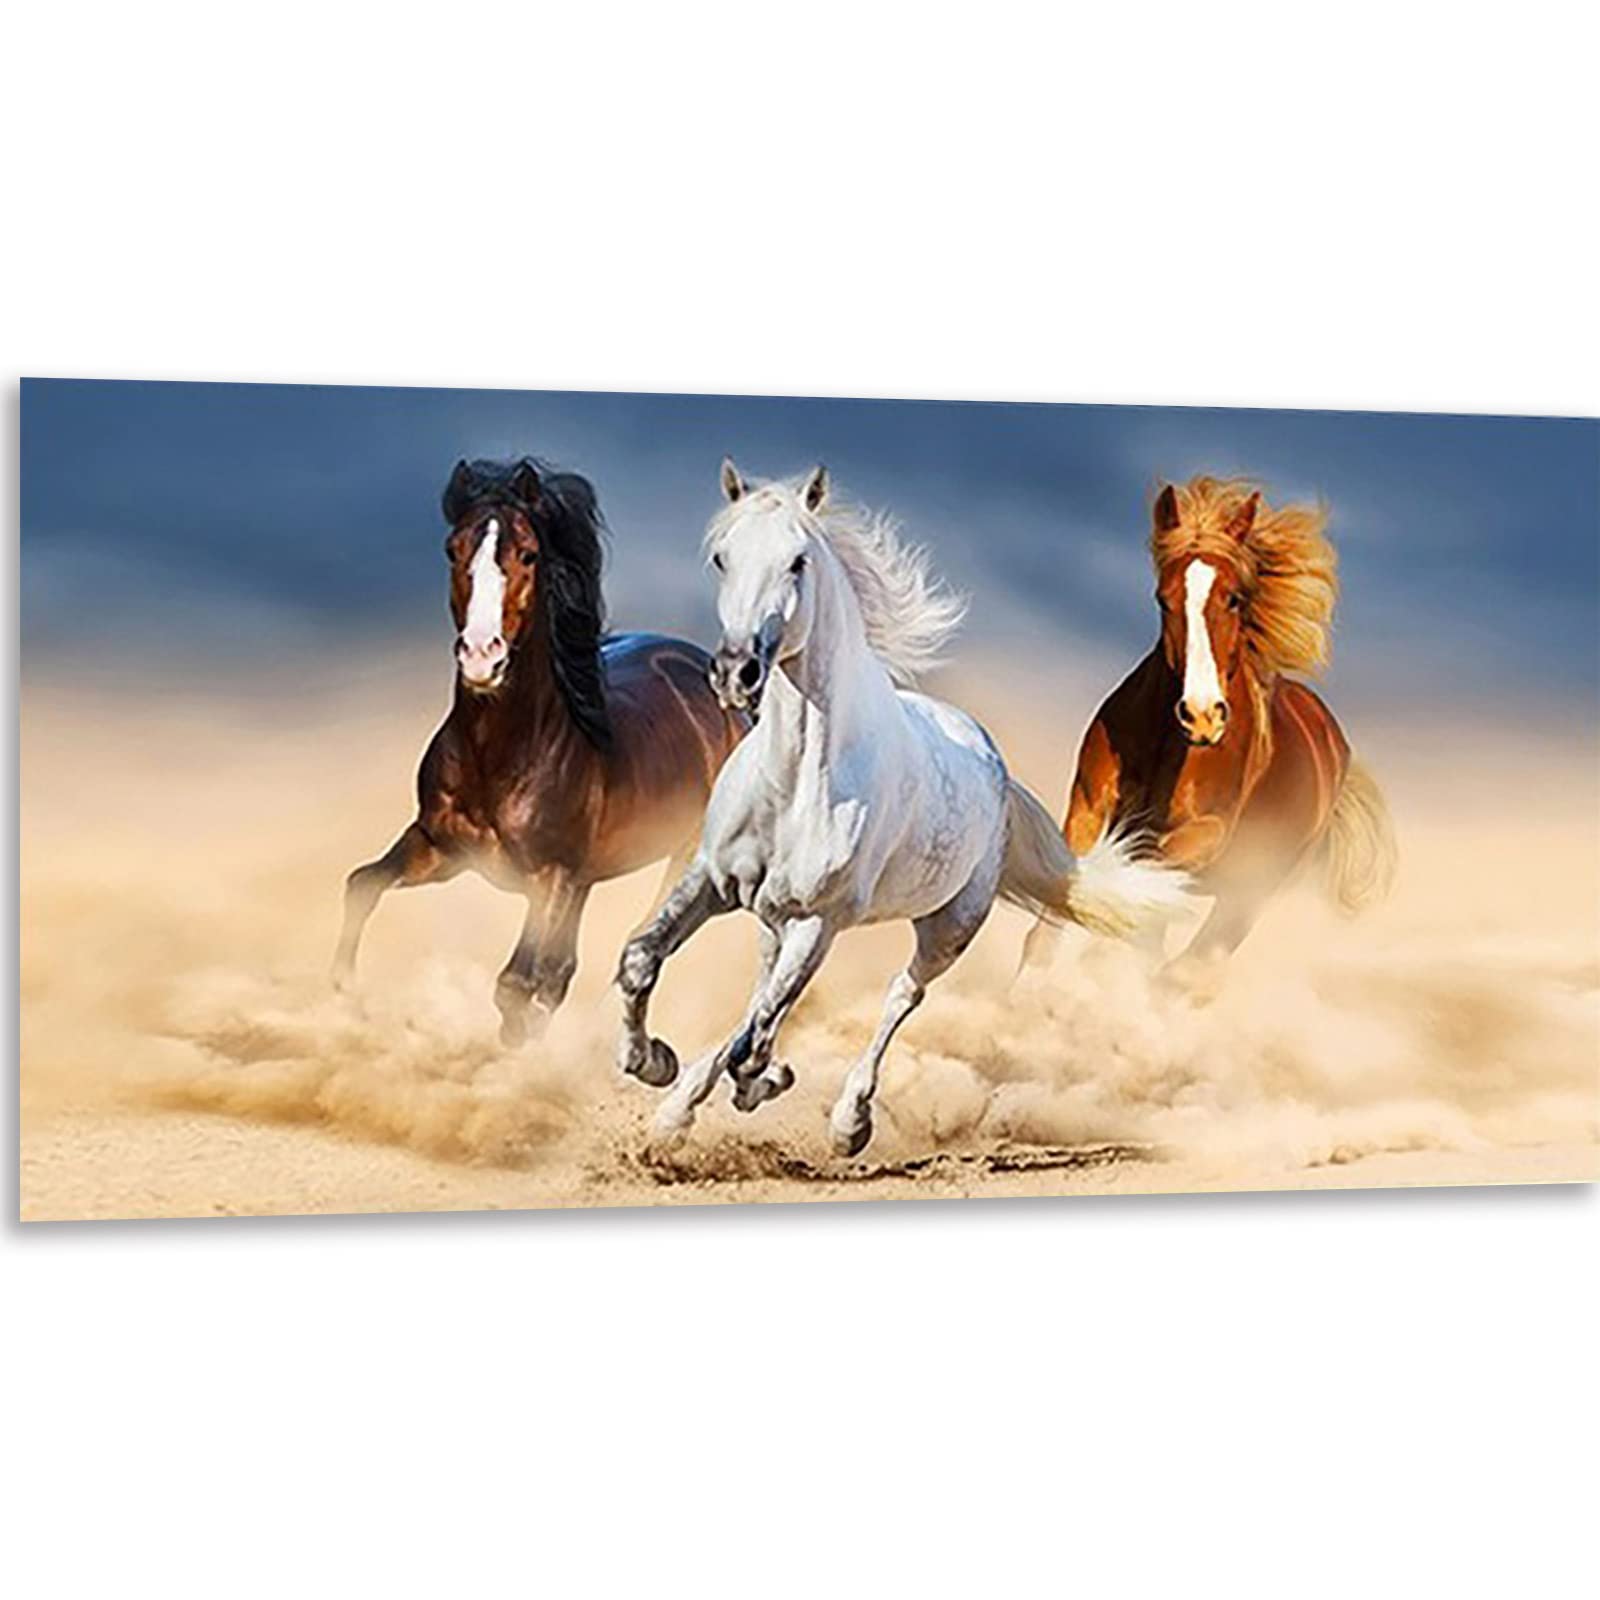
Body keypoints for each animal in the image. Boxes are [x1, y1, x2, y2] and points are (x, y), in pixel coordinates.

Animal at [332, 457, 747, 1044]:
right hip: (587, 878)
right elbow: (362, 885)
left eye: (527, 553)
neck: (500, 756)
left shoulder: (548, 878)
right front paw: (347, 993)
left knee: (631, 943)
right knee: (563, 970)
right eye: (453, 549)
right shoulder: (440, 848)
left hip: (680, 857)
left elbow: (515, 984)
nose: (481, 656)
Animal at [614, 460, 1193, 1156]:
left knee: (898, 995)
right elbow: (642, 963)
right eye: (723, 557)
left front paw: (738, 1086)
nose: (736, 673)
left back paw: (847, 1121)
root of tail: (994, 764)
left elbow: (754, 1035)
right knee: (765, 995)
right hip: (775, 919)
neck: (794, 783)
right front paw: (652, 1063)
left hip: (947, 928)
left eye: (798, 562)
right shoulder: (713, 880)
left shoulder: (820, 922)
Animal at [1020, 475, 1397, 983]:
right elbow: (1062, 900)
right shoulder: (1087, 805)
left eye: (1234, 597)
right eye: (1163, 599)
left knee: (1188, 967)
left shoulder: (1208, 835)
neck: (1167, 748)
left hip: (1250, 892)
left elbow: (1141, 869)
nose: (1201, 716)